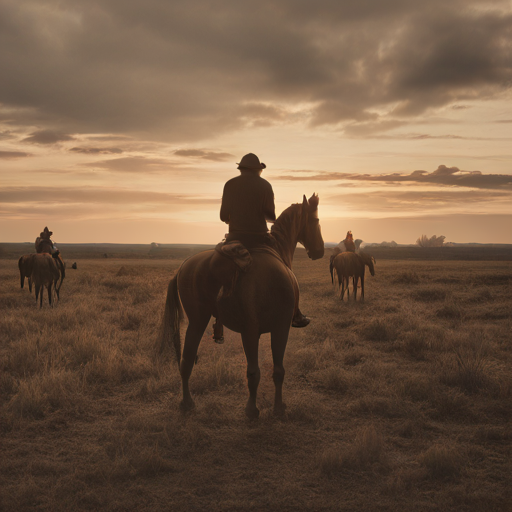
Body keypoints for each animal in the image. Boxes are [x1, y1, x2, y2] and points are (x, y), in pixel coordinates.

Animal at [159, 194, 324, 418]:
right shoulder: (280, 327)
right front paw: (278, 408)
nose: (320, 250)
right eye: (316, 221)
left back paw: (187, 403)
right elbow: (278, 370)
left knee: (186, 361)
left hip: (198, 321)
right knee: (254, 371)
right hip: (248, 330)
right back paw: (251, 410)